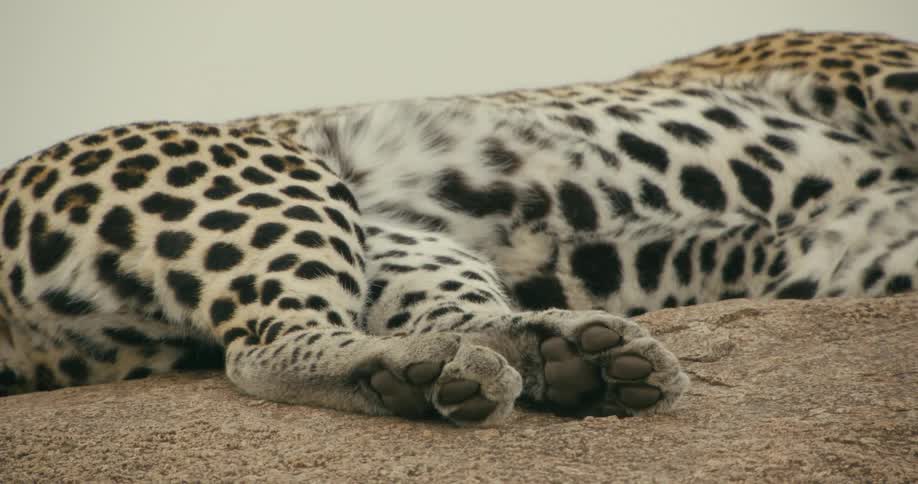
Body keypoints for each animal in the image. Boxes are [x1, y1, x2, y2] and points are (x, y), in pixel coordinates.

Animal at [0, 30, 916, 426]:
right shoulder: (872, 65)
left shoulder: (857, 246)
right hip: (266, 171)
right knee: (261, 347)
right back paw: (412, 373)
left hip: (399, 236)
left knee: (461, 314)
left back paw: (567, 359)